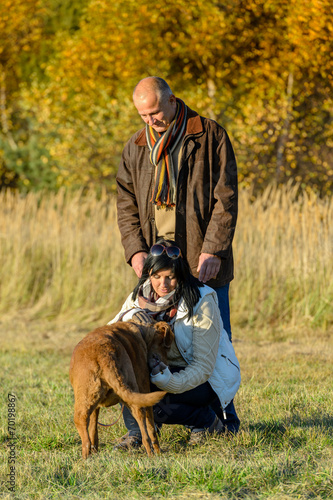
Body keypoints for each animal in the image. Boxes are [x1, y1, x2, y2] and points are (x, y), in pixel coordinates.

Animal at [70, 320, 174, 458]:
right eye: (166, 347)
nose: (167, 367)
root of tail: (104, 354)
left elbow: (93, 431)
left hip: (87, 400)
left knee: (85, 437)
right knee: (145, 428)